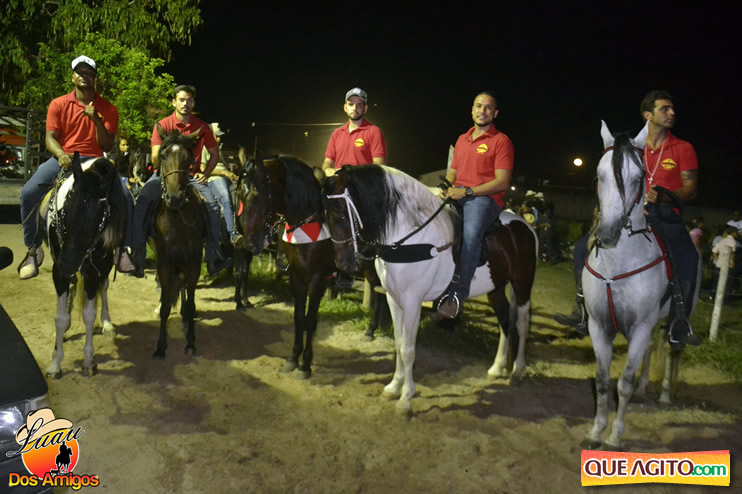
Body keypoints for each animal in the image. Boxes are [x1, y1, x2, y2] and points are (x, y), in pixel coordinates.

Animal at [41, 153, 126, 378]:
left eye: (99, 211)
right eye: (67, 205)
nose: (67, 263)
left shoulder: (94, 272)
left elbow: (89, 315)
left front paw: (89, 360)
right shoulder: (58, 271)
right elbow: (60, 317)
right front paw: (55, 363)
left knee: (103, 289)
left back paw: (107, 324)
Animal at [240, 155, 335, 379]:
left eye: (257, 192)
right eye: (240, 192)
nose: (248, 243)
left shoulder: (317, 279)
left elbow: (310, 320)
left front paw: (306, 364)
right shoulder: (297, 276)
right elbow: (299, 318)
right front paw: (293, 358)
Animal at [321, 164, 538, 413]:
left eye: (341, 215)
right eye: (325, 216)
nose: (344, 264)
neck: (408, 237)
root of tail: (525, 226)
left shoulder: (412, 302)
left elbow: (408, 348)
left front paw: (405, 398)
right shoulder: (394, 299)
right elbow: (398, 344)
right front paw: (394, 387)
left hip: (522, 284)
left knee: (521, 324)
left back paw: (517, 370)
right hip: (496, 288)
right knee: (504, 321)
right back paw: (497, 367)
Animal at [582, 121, 700, 450]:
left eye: (637, 179)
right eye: (599, 175)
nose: (607, 235)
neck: (618, 265)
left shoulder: (640, 326)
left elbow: (623, 382)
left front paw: (614, 436)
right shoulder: (599, 326)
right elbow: (602, 379)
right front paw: (596, 430)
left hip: (674, 320)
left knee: (672, 350)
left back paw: (665, 394)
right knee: (650, 350)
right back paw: (645, 387)